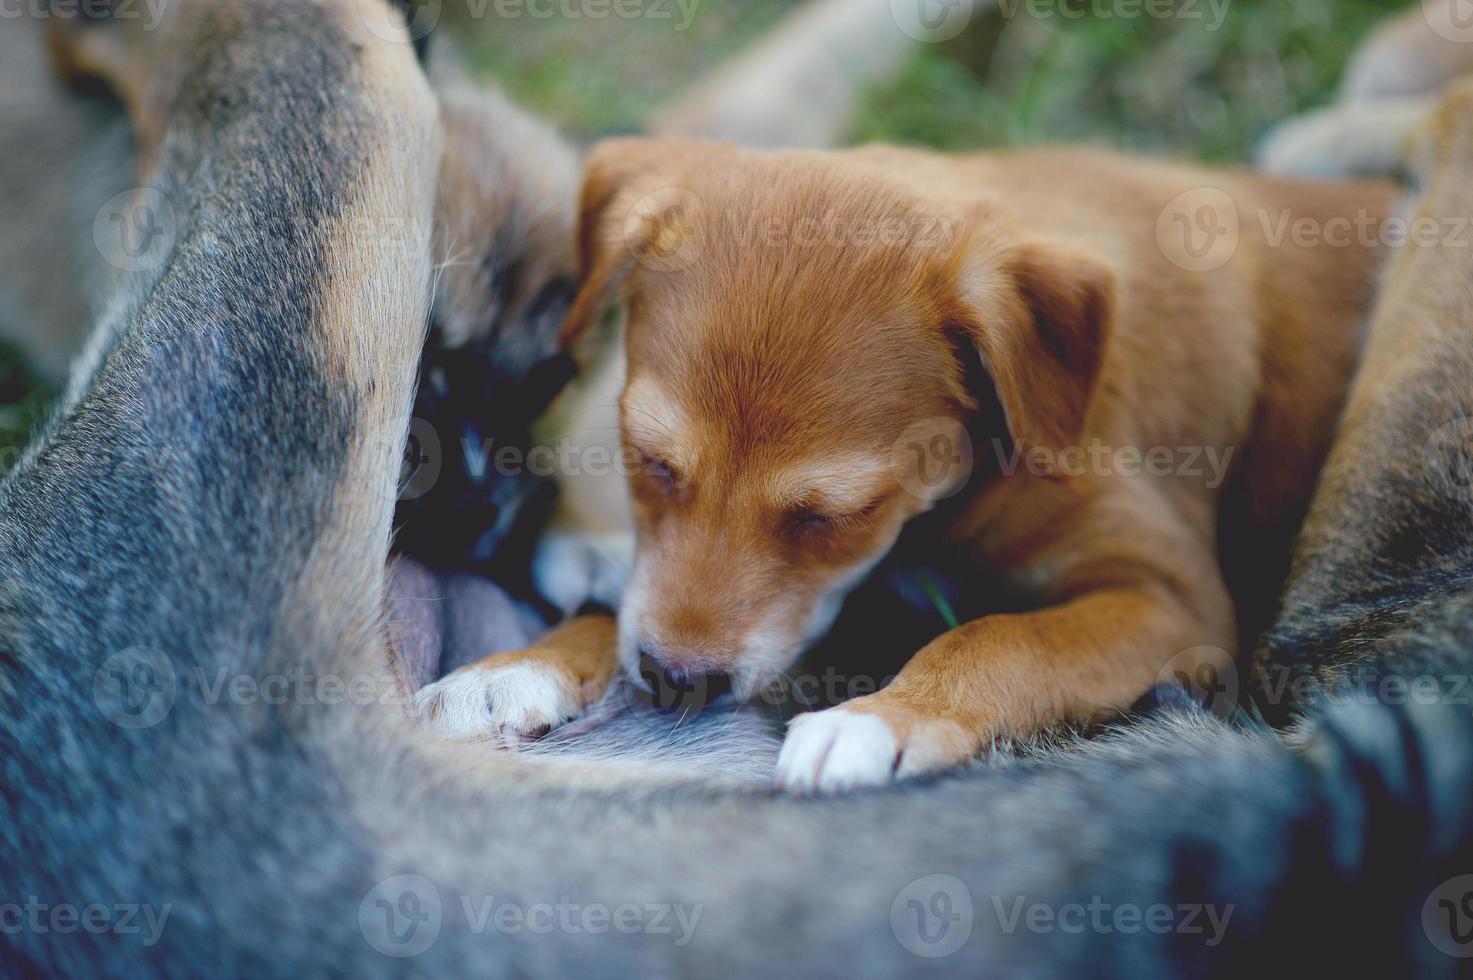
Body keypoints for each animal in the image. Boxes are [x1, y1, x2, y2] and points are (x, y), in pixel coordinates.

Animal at [424, 137, 1390, 789]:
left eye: (832, 516)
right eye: (649, 462)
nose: (674, 683)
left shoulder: (1174, 602)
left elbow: (1000, 637)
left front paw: (881, 718)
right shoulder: (840, 600)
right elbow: (625, 606)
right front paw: (515, 666)